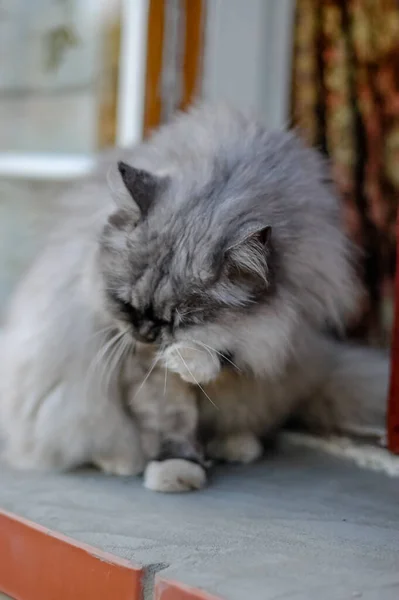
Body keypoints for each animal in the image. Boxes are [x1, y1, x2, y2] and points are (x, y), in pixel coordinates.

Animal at [0, 104, 390, 492]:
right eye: (126, 306)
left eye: (179, 320)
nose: (146, 333)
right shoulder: (140, 367)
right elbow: (171, 421)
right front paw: (176, 471)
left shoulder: (279, 334)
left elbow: (225, 356)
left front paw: (190, 362)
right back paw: (123, 462)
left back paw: (235, 446)